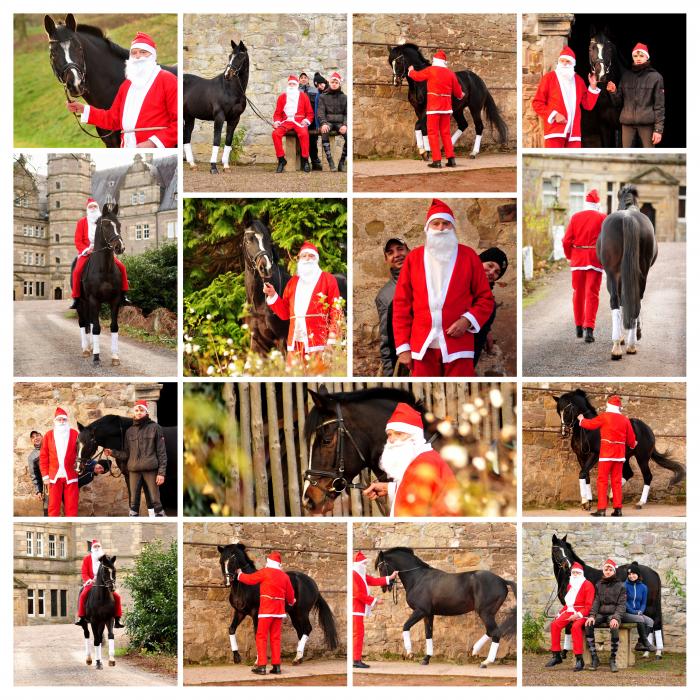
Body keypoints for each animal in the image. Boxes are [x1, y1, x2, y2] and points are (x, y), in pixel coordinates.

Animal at [183, 40, 249, 174]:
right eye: (230, 56)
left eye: (240, 56)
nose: (227, 75)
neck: (230, 90)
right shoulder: (219, 117)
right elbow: (217, 139)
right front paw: (213, 167)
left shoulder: (235, 119)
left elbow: (228, 140)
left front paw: (226, 167)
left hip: (189, 116)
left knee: (186, 136)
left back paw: (192, 165)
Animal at [374, 548, 516, 668]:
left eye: (381, 566)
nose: (384, 587)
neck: (418, 578)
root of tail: (502, 581)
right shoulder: (428, 614)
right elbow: (428, 634)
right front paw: (426, 659)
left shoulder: (420, 611)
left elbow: (405, 626)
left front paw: (410, 653)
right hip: (488, 613)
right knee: (490, 631)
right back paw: (475, 651)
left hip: (485, 612)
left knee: (495, 632)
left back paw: (486, 662)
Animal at [552, 388, 684, 508]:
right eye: (559, 412)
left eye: (567, 410)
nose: (564, 432)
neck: (587, 431)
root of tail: (648, 429)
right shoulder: (580, 456)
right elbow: (586, 475)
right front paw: (588, 502)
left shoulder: (594, 455)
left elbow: (582, 473)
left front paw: (585, 502)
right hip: (625, 456)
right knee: (629, 473)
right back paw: (611, 497)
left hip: (642, 458)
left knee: (647, 476)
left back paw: (640, 503)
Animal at [596, 185, 656, 360]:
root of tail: (628, 218)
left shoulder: (616, 275)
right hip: (641, 272)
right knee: (636, 299)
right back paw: (630, 344)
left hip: (611, 273)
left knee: (615, 300)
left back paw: (619, 344)